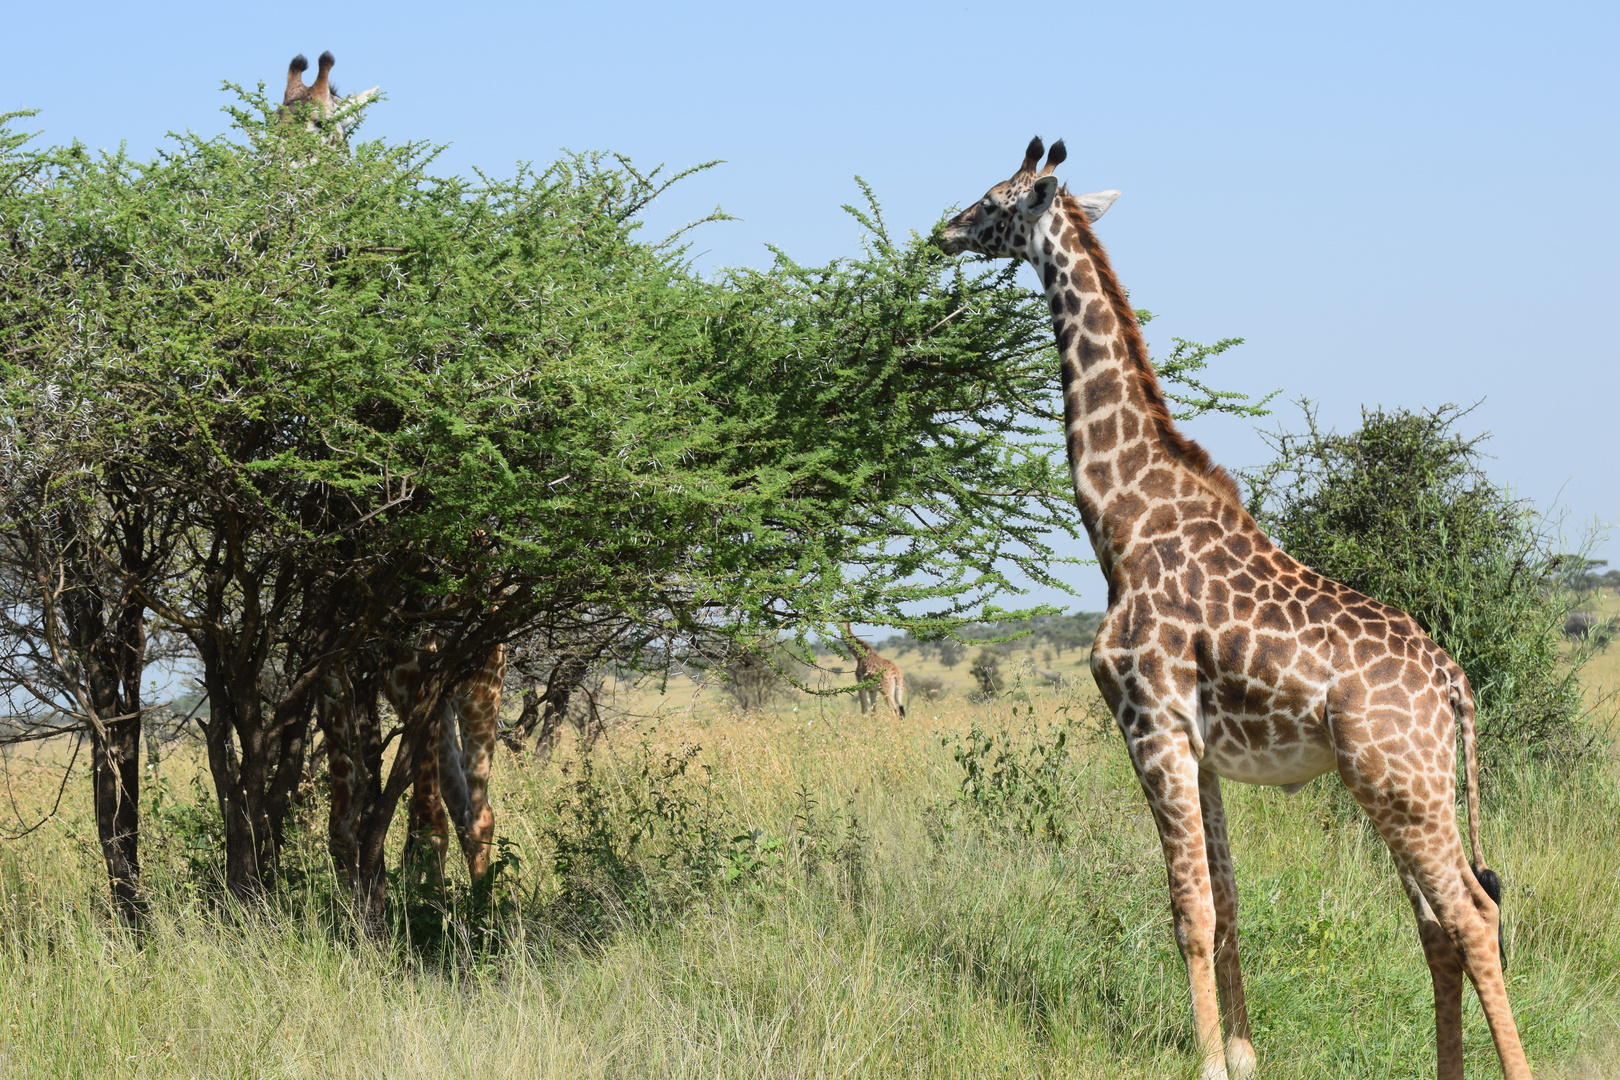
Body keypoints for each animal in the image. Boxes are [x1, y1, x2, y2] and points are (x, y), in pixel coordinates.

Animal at [939, 137, 1529, 1080]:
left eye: (996, 199)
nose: (944, 230)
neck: (1120, 517)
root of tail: (1457, 686)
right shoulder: (1201, 746)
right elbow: (1229, 898)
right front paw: (1245, 1053)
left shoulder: (1148, 724)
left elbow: (1189, 909)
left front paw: (1209, 1061)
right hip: (1406, 787)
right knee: (1440, 924)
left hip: (1399, 783)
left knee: (1473, 914)